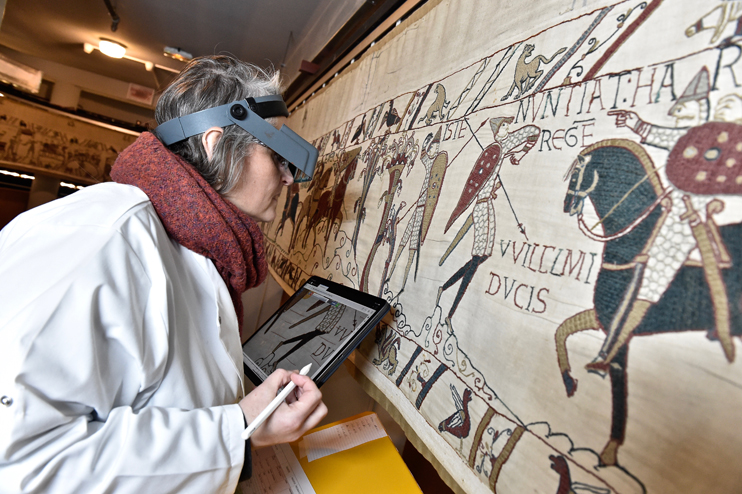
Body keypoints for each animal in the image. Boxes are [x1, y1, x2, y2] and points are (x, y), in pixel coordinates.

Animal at [560, 138, 742, 466]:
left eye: (577, 171)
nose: (568, 205)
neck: (633, 242)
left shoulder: (620, 335)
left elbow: (619, 389)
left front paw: (609, 451)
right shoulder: (602, 317)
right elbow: (562, 329)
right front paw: (569, 382)